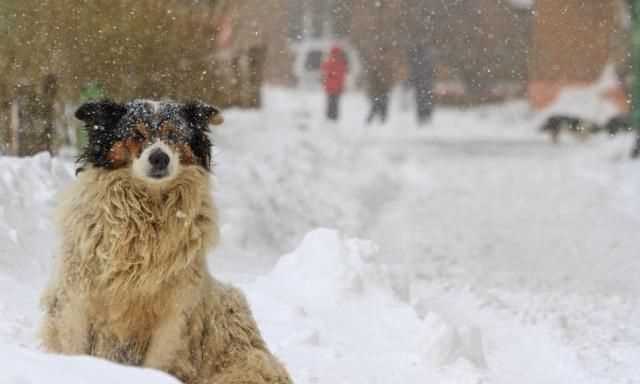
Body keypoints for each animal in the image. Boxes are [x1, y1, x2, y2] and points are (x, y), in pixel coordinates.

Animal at [43, 100, 294, 384]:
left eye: (174, 135)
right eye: (137, 134)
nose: (159, 157)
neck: (148, 212)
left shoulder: (174, 315)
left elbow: (159, 360)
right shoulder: (76, 299)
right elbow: (74, 344)